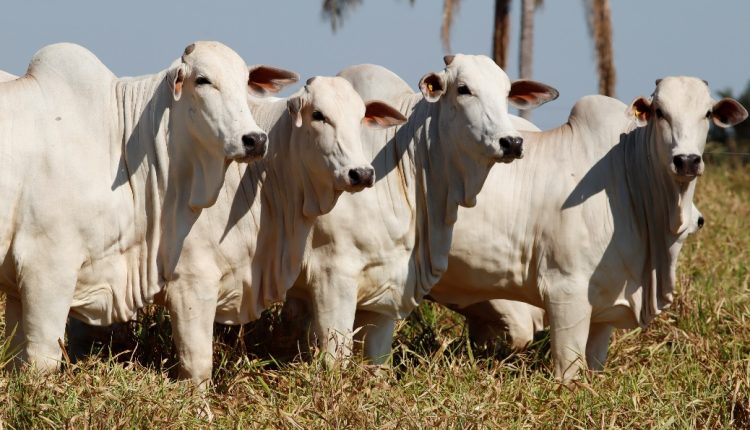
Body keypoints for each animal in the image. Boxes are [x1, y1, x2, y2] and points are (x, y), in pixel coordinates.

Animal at [0, 42, 300, 372]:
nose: (255, 140)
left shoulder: (17, 286)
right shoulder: (47, 262)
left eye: (245, 81)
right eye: (203, 80)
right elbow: (42, 358)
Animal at [428, 76, 748, 380]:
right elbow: (569, 370)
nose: (687, 161)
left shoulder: (603, 309)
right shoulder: (565, 291)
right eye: (660, 112)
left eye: (707, 113)